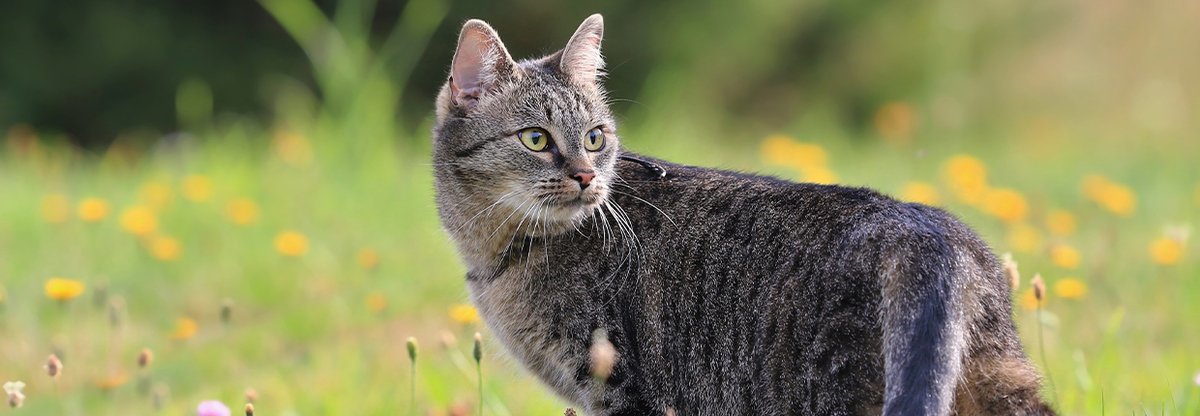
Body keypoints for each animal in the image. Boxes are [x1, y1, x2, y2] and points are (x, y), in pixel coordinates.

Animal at [429, 13, 1051, 416]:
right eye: (536, 139)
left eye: (594, 137)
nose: (587, 176)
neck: (498, 250)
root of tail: (923, 226)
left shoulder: (619, 389)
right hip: (997, 381)